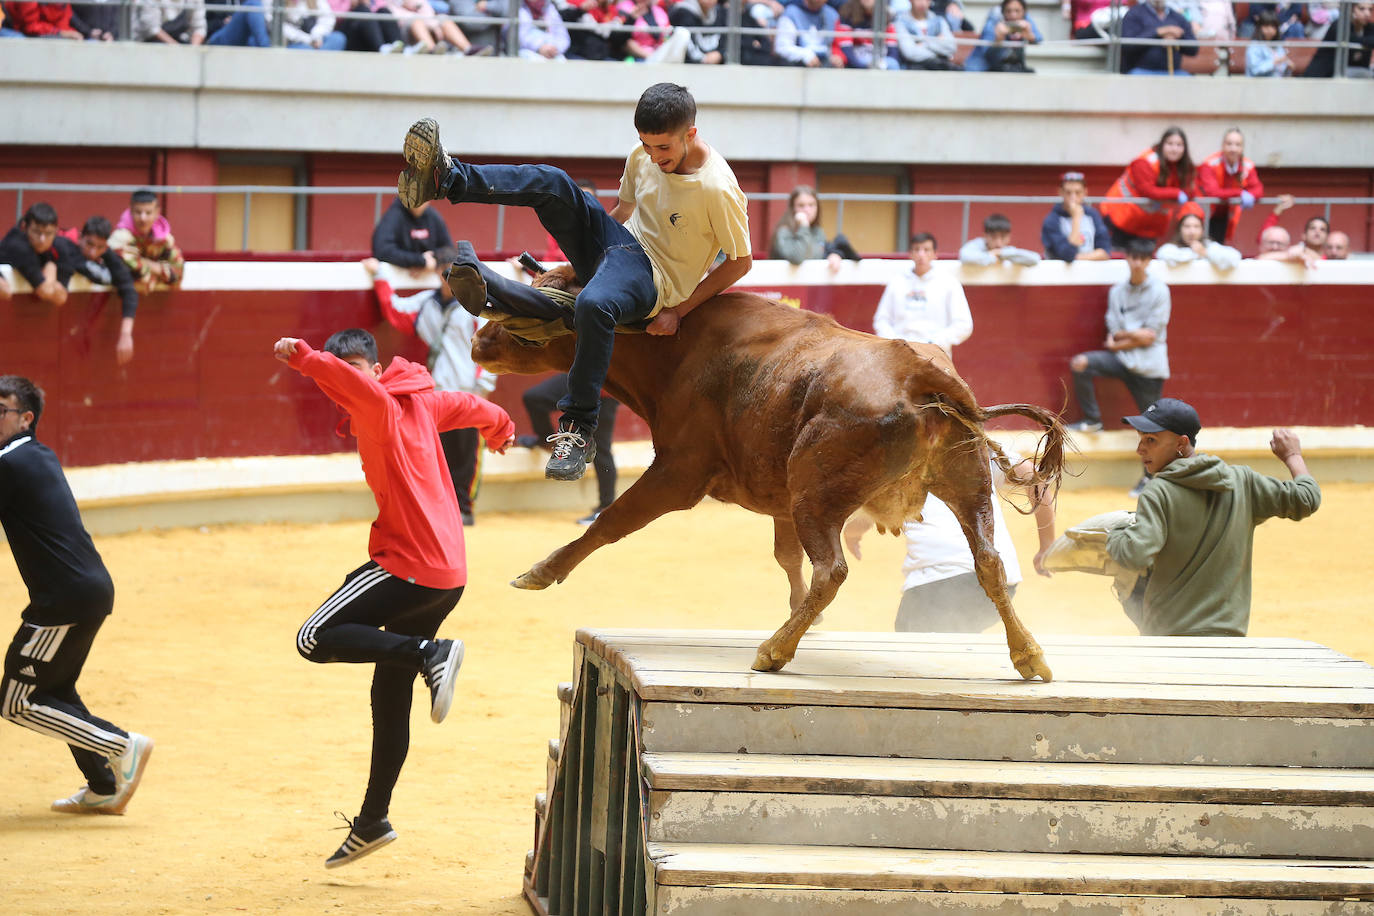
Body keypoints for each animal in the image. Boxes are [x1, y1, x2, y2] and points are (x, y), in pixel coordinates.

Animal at [478, 271, 1066, 681]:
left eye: (534, 307)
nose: (479, 341)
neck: (678, 349)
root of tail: (919, 372)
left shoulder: (677, 472)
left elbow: (611, 521)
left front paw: (539, 571)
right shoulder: (779, 499)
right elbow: (786, 557)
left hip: (818, 496)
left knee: (833, 569)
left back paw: (775, 650)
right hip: (967, 487)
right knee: (988, 562)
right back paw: (1030, 656)